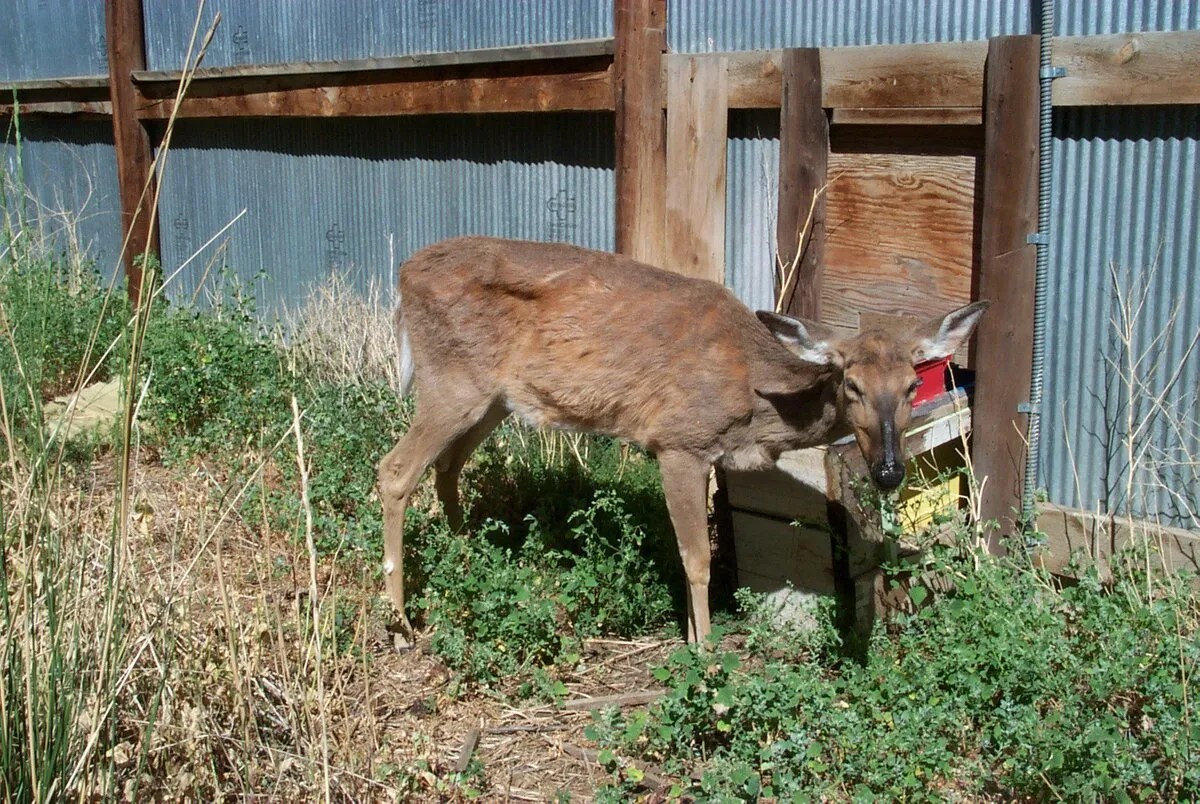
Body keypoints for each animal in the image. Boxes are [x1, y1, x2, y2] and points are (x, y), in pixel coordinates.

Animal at [378, 236, 989, 647]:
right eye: (852, 384)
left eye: (912, 386)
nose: (888, 471)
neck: (754, 398)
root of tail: (402, 276)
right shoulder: (677, 442)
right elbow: (697, 560)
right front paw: (706, 653)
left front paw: (696, 637)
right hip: (451, 382)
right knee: (395, 470)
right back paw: (403, 623)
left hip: (493, 399)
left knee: (446, 468)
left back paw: (469, 561)